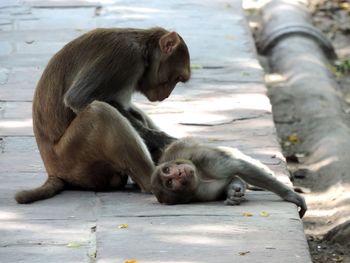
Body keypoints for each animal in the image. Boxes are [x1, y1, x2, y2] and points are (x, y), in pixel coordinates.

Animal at [15, 27, 190, 204]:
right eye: (177, 78)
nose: (167, 95)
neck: (143, 51)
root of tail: (53, 171)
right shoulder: (125, 56)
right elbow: (79, 98)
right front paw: (164, 140)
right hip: (71, 159)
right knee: (100, 112)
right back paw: (153, 181)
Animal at [150, 139, 306, 218]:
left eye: (167, 170)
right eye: (169, 182)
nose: (179, 173)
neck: (200, 177)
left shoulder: (203, 159)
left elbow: (241, 167)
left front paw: (291, 196)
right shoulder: (203, 192)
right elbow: (231, 180)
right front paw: (233, 195)